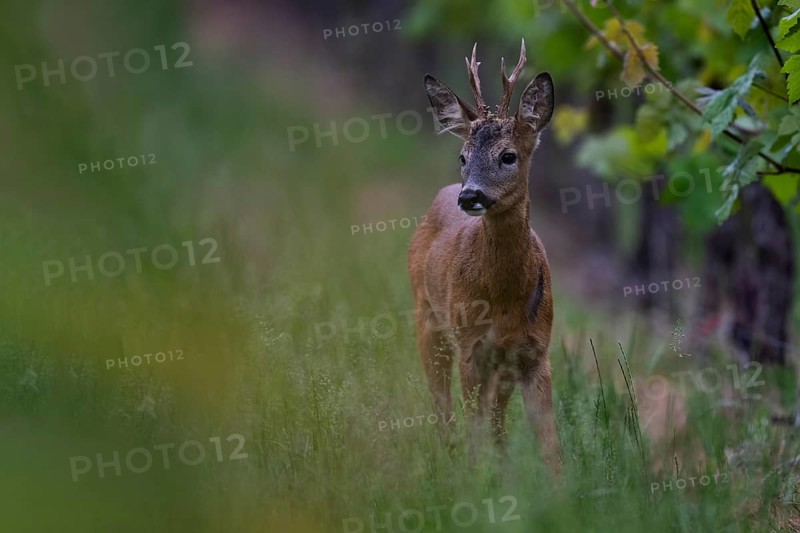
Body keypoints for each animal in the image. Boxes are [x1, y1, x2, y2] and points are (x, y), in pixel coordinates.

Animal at [408, 40, 559, 467]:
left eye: (508, 156)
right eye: (462, 156)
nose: (469, 196)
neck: (505, 300)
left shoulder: (535, 352)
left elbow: (550, 445)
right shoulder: (471, 347)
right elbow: (474, 429)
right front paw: (477, 475)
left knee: (496, 420)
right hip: (427, 317)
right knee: (443, 406)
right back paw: (449, 459)